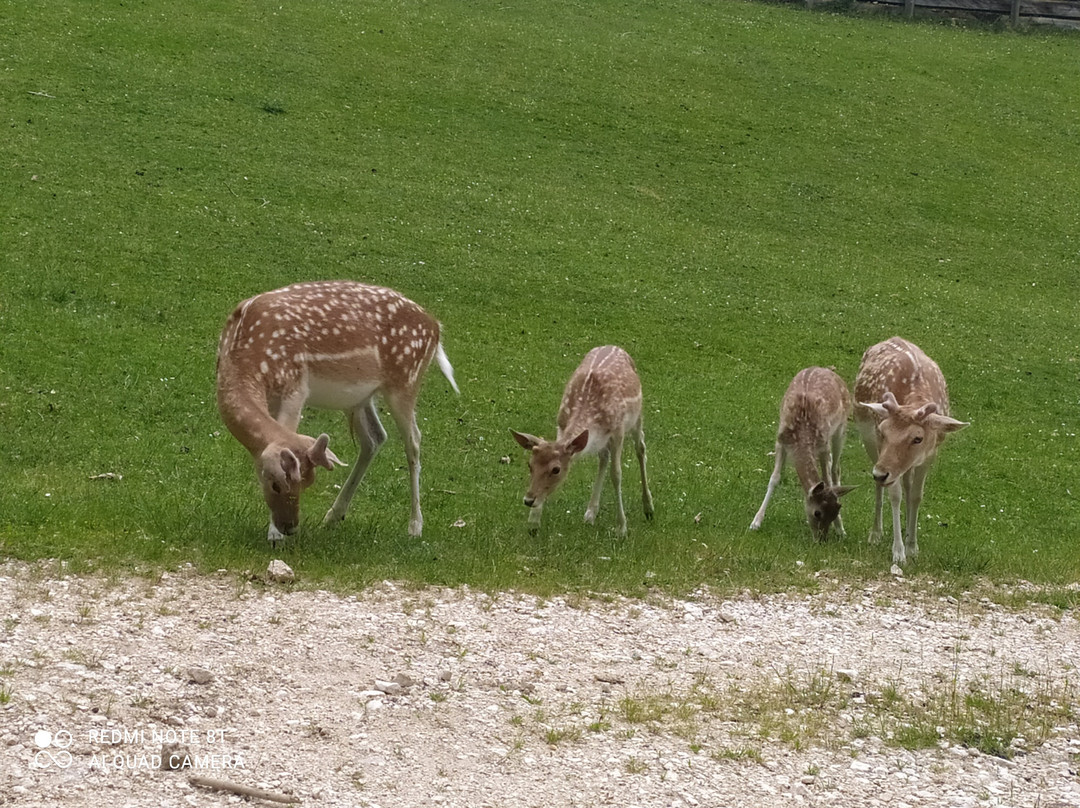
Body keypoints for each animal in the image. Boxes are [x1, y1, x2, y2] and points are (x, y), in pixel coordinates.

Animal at [217, 280, 457, 546]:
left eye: (306, 483)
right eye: (276, 485)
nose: (289, 527)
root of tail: (436, 327)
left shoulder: (295, 387)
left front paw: (273, 535)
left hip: (405, 381)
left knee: (413, 441)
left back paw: (415, 526)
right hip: (359, 397)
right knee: (374, 438)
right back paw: (333, 516)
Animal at [509, 343, 652, 533]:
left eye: (556, 469)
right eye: (530, 464)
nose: (529, 500)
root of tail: (615, 346)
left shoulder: (618, 431)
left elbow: (616, 474)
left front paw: (622, 528)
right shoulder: (561, 424)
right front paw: (533, 522)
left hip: (638, 415)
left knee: (640, 447)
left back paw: (648, 508)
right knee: (603, 457)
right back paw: (591, 513)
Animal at [747, 369, 855, 540]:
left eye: (837, 509)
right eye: (817, 513)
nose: (821, 539)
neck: (802, 434)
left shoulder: (823, 445)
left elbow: (827, 481)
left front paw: (840, 527)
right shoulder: (781, 441)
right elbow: (774, 478)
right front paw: (755, 522)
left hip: (842, 428)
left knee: (836, 469)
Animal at [851, 337, 972, 566]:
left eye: (918, 438)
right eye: (883, 431)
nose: (879, 473)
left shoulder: (930, 455)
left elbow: (916, 495)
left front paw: (913, 546)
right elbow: (895, 495)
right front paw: (898, 553)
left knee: (907, 484)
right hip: (868, 440)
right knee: (881, 488)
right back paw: (875, 534)